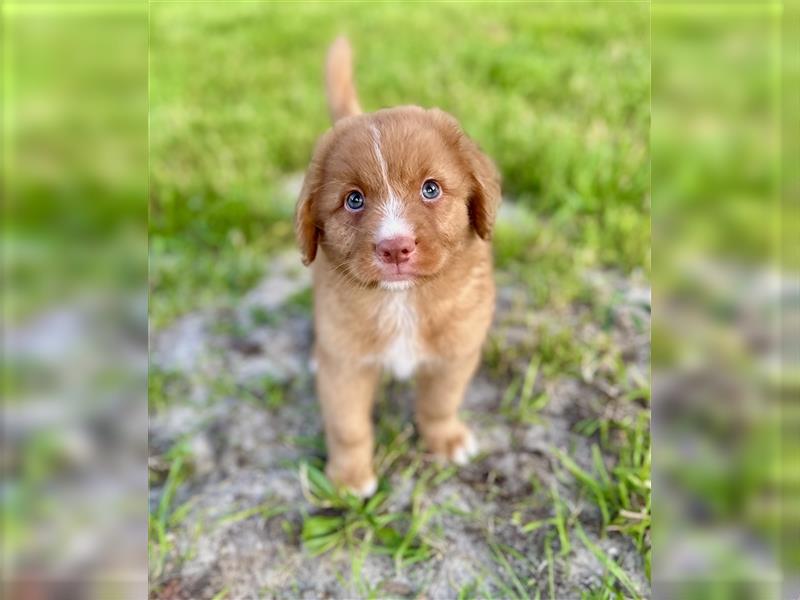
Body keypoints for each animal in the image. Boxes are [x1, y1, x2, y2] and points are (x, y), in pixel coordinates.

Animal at [296, 38, 500, 496]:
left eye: (431, 189)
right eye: (354, 200)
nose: (394, 248)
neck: (403, 301)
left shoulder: (456, 353)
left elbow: (439, 403)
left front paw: (446, 440)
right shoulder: (346, 367)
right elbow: (348, 427)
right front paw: (349, 478)